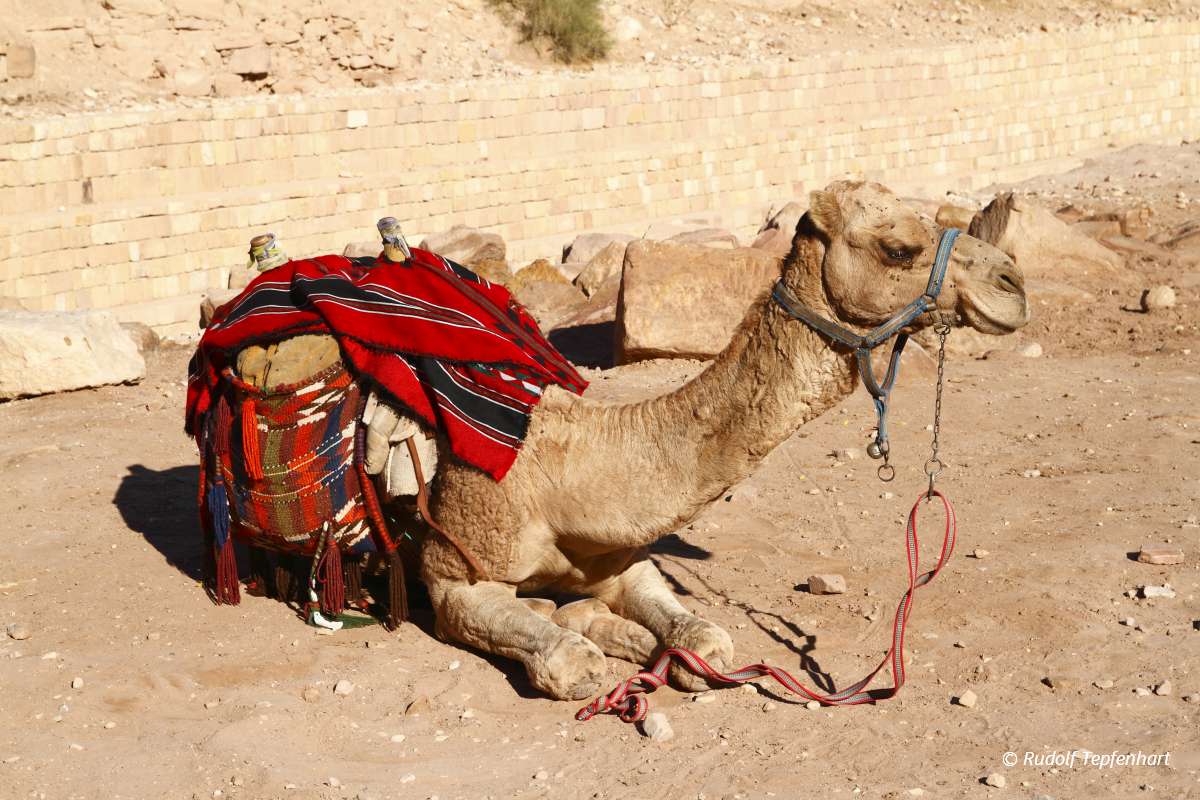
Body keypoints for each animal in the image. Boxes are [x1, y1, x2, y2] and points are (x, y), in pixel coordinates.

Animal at [416, 180, 1031, 700]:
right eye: (898, 248)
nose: (1013, 285)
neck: (570, 472)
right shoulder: (455, 573)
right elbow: (570, 661)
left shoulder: (621, 559)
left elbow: (703, 637)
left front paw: (662, 648)